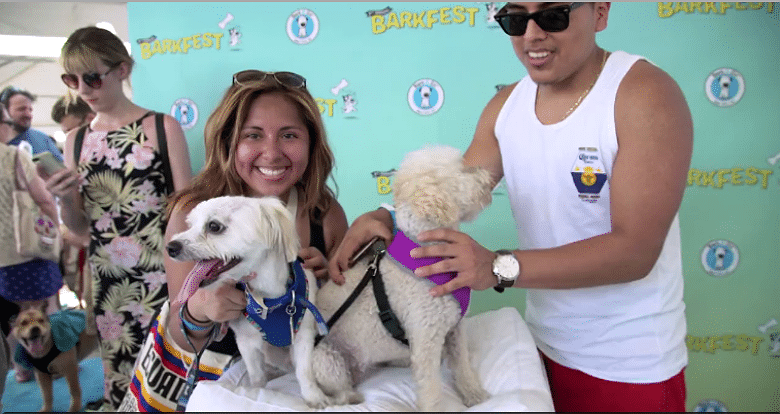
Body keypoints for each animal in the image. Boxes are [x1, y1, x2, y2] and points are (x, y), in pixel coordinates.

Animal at [168, 196, 332, 408]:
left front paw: (314, 397)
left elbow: (305, 372)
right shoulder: (247, 342)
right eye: (190, 225)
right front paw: (255, 392)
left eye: (214, 226)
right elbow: (256, 376)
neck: (269, 300)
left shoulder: (303, 337)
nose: (170, 247)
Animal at [314, 144, 490, 410]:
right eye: (463, 169)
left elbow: (462, 365)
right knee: (339, 393)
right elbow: (430, 389)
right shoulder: (426, 338)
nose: (488, 174)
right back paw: (350, 397)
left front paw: (473, 394)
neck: (427, 251)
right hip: (327, 361)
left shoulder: (456, 329)